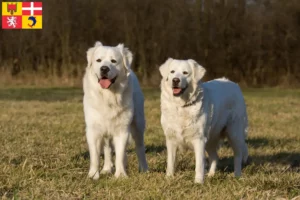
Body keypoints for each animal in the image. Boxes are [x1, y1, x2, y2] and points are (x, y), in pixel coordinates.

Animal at [82, 41, 148, 179]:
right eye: (98, 60)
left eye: (113, 61)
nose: (104, 69)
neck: (108, 96)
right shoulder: (93, 129)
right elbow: (95, 156)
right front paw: (93, 175)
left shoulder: (122, 129)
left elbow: (120, 154)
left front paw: (120, 175)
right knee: (107, 148)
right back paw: (107, 168)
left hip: (138, 124)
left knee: (140, 147)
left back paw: (144, 169)